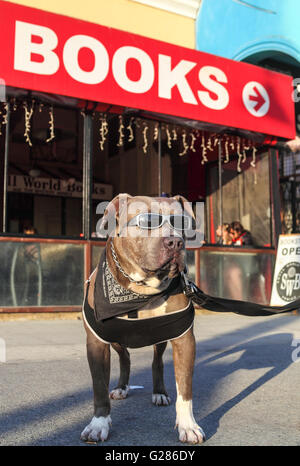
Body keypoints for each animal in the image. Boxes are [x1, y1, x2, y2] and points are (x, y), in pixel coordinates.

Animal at [81, 193, 205, 444]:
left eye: (181, 223)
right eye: (147, 222)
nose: (175, 242)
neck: (141, 290)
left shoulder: (184, 340)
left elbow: (185, 388)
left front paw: (188, 426)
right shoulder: (96, 342)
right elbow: (99, 387)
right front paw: (99, 424)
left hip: (161, 338)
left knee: (157, 362)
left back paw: (159, 392)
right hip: (116, 340)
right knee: (125, 358)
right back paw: (121, 388)